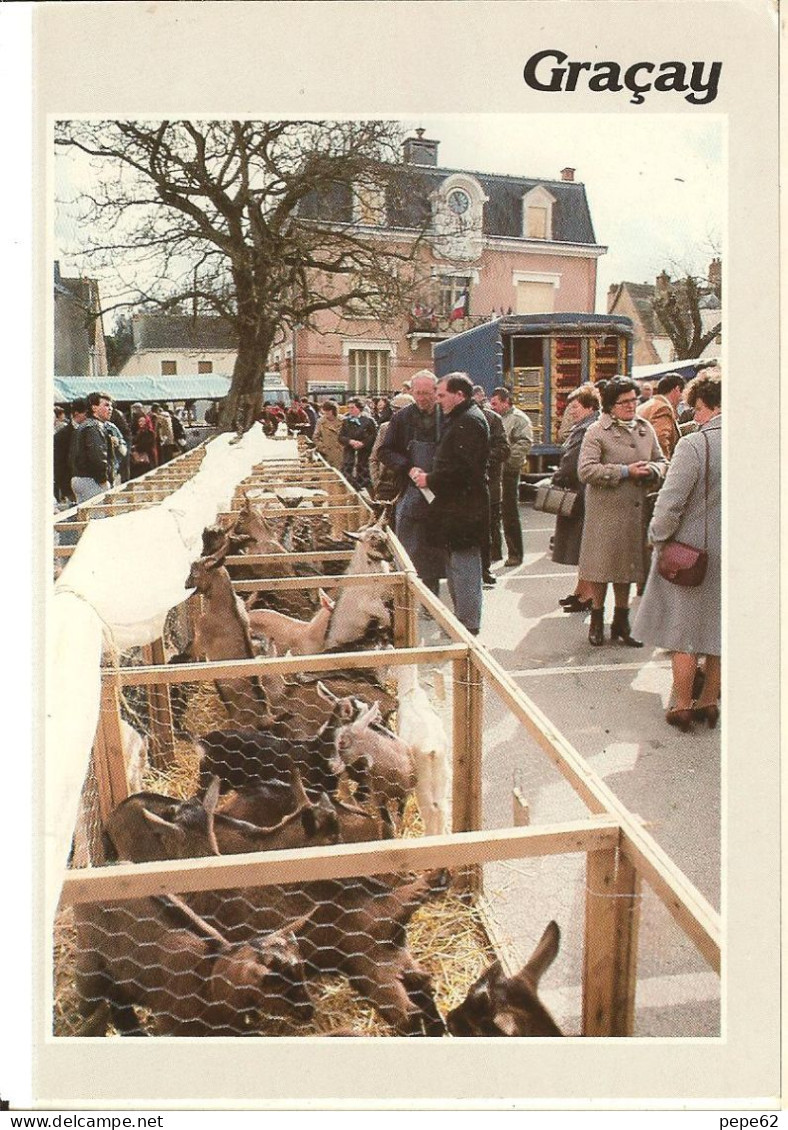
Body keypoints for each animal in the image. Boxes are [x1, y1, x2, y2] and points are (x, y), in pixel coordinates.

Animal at [393, 664, 447, 836]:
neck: (410, 691)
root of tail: (433, 750)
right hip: (442, 778)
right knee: (441, 808)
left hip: (422, 783)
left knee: (430, 810)